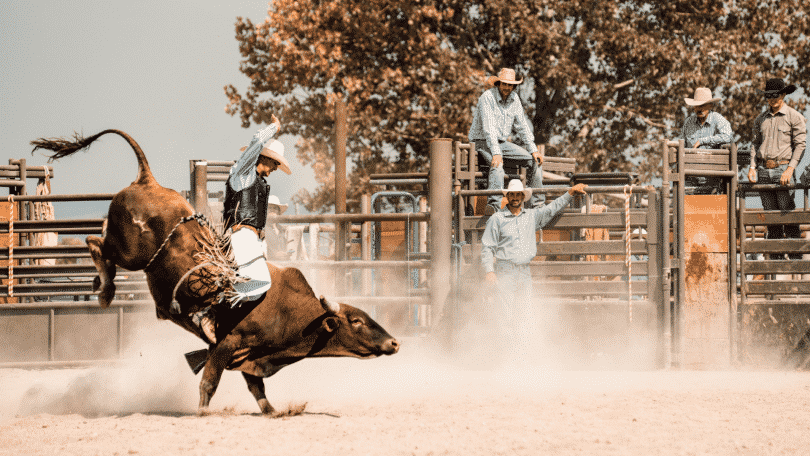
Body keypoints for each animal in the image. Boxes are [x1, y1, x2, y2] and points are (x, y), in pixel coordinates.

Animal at [31, 130, 398, 416]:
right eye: (357, 321)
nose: (394, 342)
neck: (288, 311)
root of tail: (148, 180)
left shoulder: (249, 355)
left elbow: (257, 389)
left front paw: (275, 411)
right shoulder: (229, 343)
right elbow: (210, 380)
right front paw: (204, 412)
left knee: (98, 243)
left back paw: (99, 284)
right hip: (131, 252)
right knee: (96, 243)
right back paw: (106, 290)